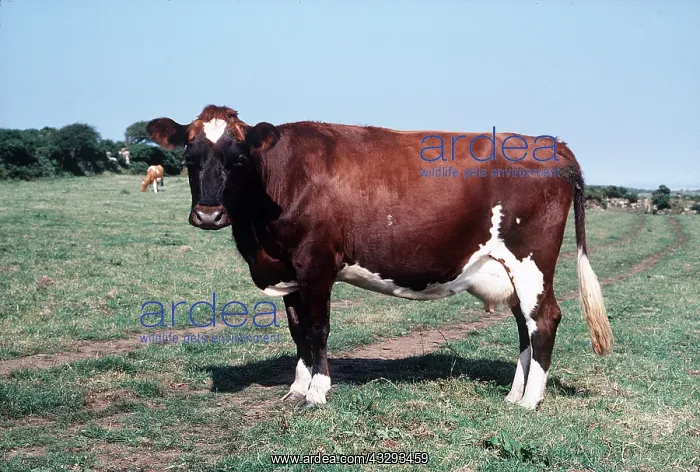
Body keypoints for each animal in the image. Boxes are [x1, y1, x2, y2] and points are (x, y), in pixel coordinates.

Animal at [147, 105, 613, 410]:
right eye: (189, 156)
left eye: (239, 158)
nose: (208, 214)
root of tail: (551, 145)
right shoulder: (290, 270)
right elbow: (297, 332)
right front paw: (296, 388)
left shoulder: (316, 263)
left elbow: (316, 329)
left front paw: (317, 393)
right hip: (509, 269)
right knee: (524, 327)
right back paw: (514, 394)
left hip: (531, 259)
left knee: (544, 320)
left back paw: (529, 401)